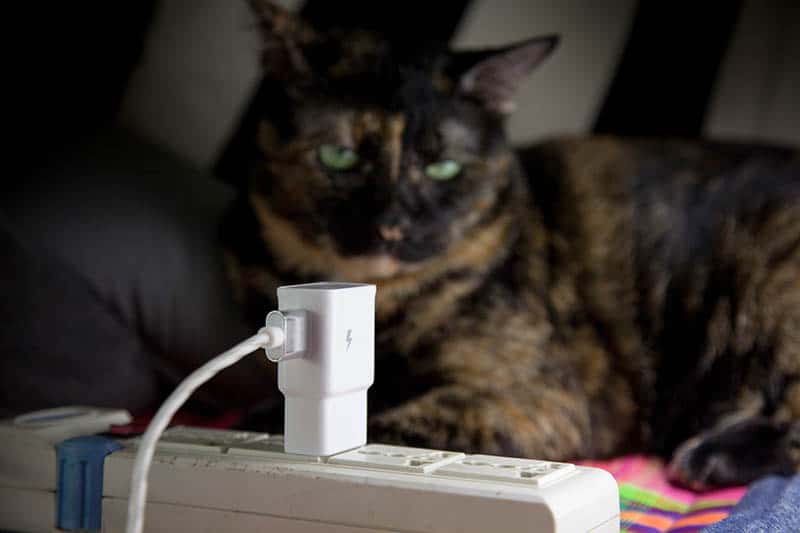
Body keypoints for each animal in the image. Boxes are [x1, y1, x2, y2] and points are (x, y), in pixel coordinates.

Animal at [222, 0, 800, 490]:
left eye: (443, 167)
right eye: (339, 157)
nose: (392, 225)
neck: (384, 305)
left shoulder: (547, 399)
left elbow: (398, 421)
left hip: (769, 282)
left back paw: (710, 456)